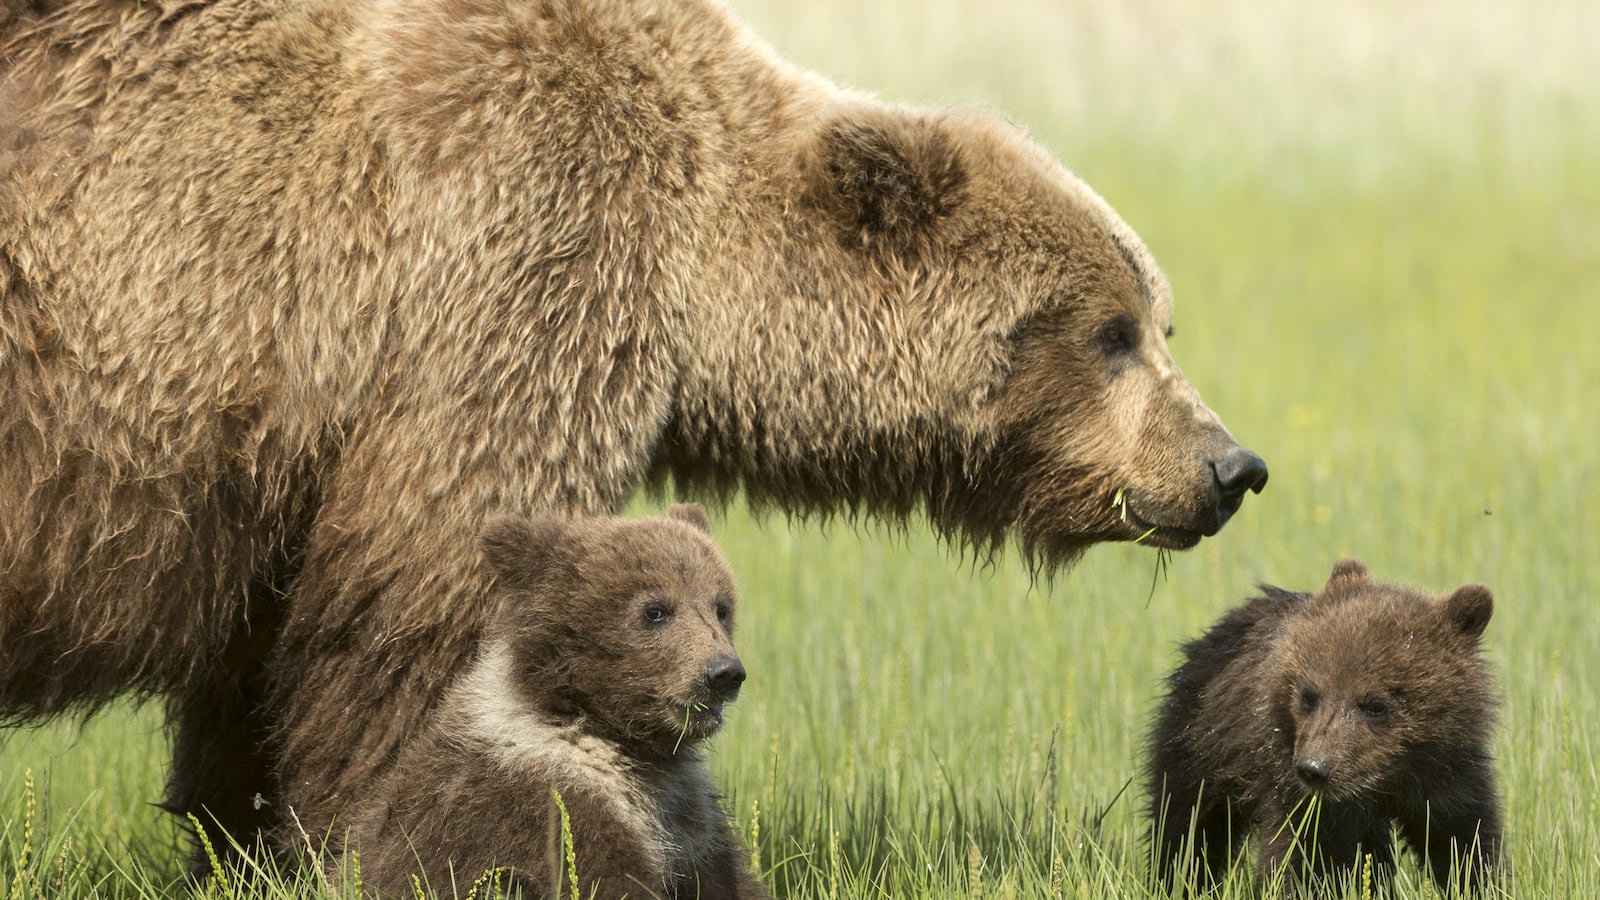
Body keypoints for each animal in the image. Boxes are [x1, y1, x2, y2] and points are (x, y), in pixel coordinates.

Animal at [342, 504, 768, 899]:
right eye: (655, 610)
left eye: (720, 607)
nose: (724, 673)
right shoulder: (546, 800)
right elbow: (601, 876)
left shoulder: (689, 819)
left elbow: (723, 878)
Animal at [1145, 559, 1502, 895]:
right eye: (1308, 694)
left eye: (1376, 704)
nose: (1314, 768)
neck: (1388, 781)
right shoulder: (1300, 790)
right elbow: (1303, 855)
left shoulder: (1447, 779)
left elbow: (1464, 843)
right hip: (1197, 740)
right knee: (1186, 824)